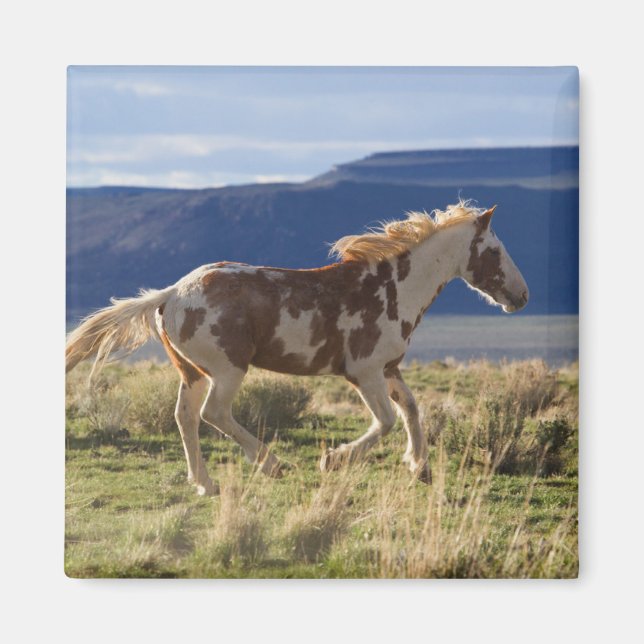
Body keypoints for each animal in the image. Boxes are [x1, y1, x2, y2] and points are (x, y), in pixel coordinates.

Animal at [66, 200, 528, 495]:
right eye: (495, 250)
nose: (522, 296)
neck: (394, 290)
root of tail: (170, 294)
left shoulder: (389, 368)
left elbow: (412, 410)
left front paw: (420, 467)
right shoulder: (363, 372)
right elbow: (384, 422)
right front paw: (334, 460)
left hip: (192, 372)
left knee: (185, 417)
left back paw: (205, 483)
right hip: (228, 369)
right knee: (214, 414)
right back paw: (271, 464)